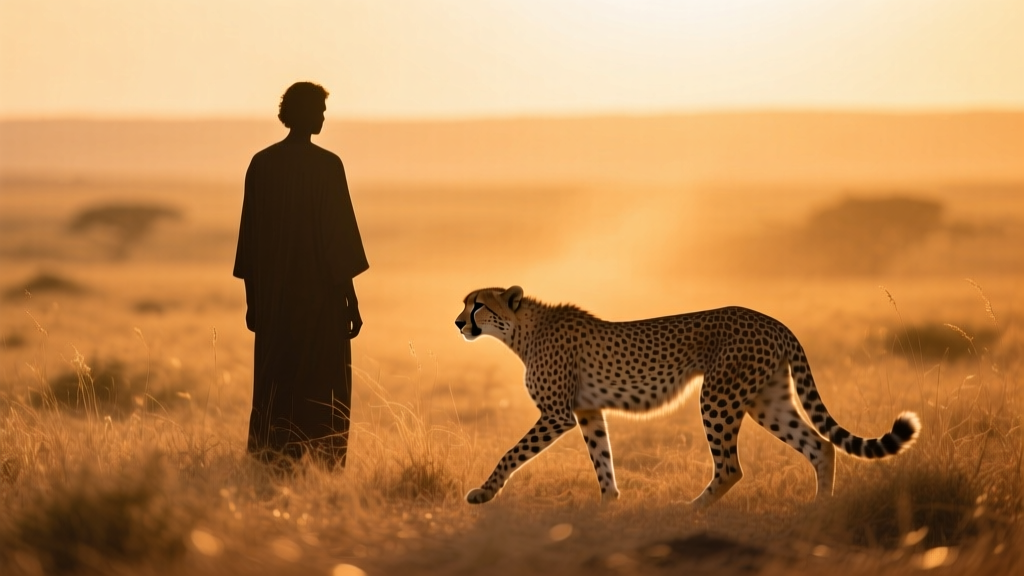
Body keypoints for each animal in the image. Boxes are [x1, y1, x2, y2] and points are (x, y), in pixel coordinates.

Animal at [454, 286, 920, 508]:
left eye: (478, 305)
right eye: (465, 303)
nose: (458, 322)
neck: (522, 330)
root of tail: (773, 320)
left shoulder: (557, 414)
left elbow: (511, 454)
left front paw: (483, 493)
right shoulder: (587, 411)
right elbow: (602, 458)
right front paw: (608, 504)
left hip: (718, 397)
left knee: (732, 468)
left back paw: (690, 508)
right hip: (767, 400)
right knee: (821, 445)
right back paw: (819, 508)